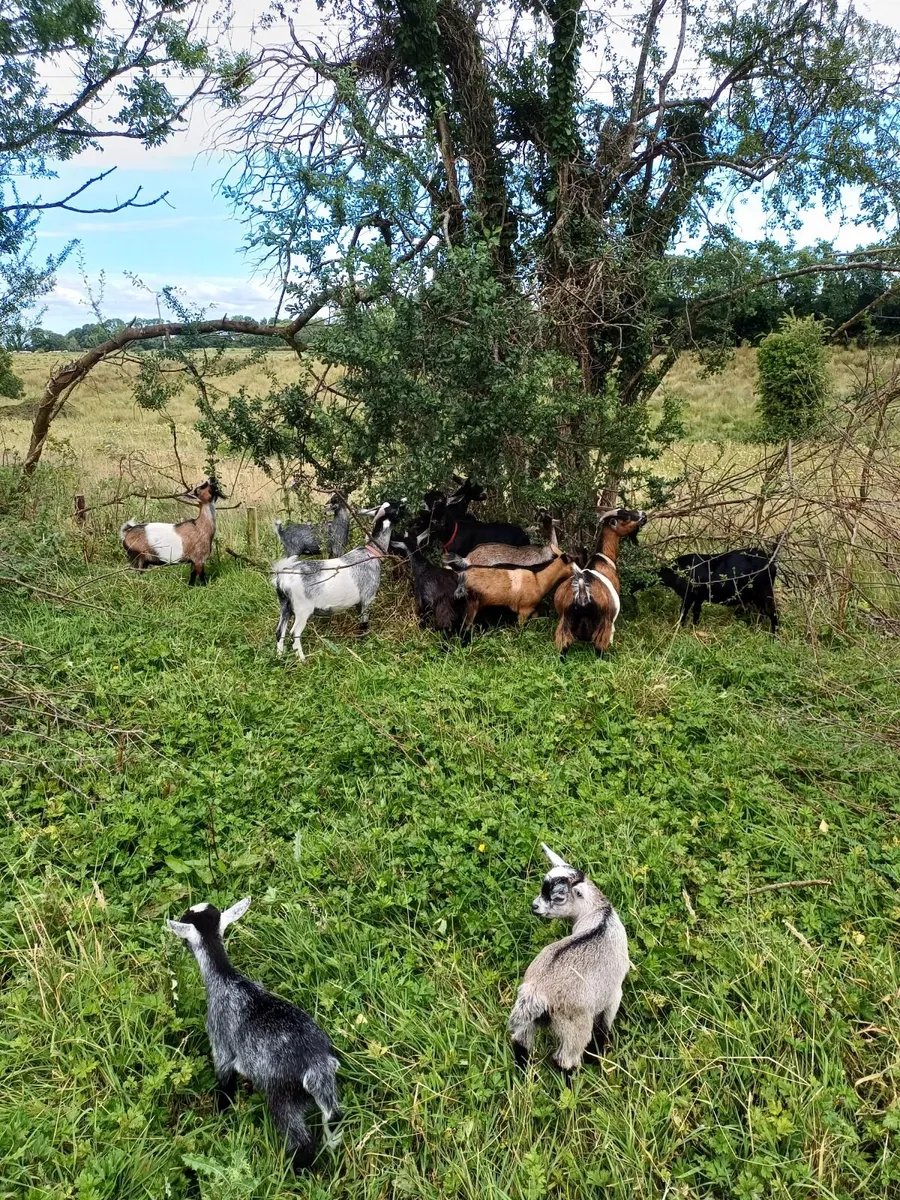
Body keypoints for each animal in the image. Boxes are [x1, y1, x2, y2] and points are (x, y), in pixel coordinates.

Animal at [167, 897, 341, 1169]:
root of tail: (317, 1063)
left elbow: (225, 1080)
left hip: (282, 1095)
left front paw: (222, 1114)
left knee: (300, 1140)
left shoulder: (221, 1042)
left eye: (185, 919)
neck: (226, 979)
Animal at [272, 500, 404, 659]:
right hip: (302, 608)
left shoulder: (359, 603)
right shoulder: (367, 598)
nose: (404, 501)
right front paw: (364, 643)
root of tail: (282, 577)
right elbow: (364, 624)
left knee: (280, 632)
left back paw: (280, 657)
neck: (371, 553)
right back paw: (302, 660)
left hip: (285, 605)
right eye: (396, 508)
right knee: (294, 633)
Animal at [508, 844, 629, 1075]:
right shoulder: (613, 995)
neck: (600, 915)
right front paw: (599, 1053)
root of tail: (536, 991)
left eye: (558, 897)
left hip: (530, 1018)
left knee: (520, 1041)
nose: (534, 907)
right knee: (566, 1059)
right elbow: (603, 1027)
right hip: (574, 1023)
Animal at [553, 508, 647, 657]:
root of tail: (582, 597)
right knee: (599, 651)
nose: (644, 514)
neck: (604, 558)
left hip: (564, 625)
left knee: (563, 650)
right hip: (603, 627)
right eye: (626, 516)